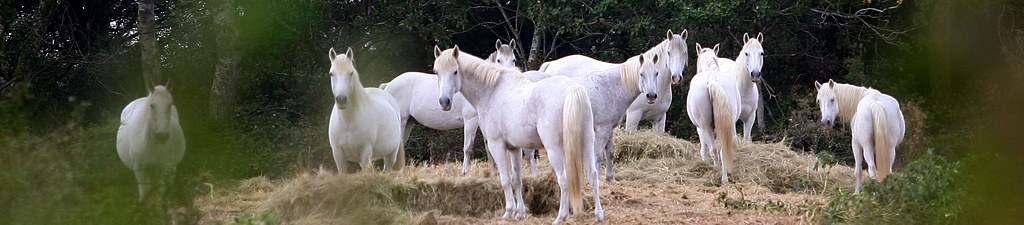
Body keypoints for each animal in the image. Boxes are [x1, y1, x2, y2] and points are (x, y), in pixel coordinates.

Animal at [380, 39, 520, 174]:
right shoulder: (471, 120)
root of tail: (388, 85)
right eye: (499, 60)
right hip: (401, 123)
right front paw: (465, 172)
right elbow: (468, 147)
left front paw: (494, 171)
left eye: (513, 59)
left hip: (409, 122)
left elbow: (488, 147)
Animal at [430, 45, 598, 222]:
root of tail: (571, 89)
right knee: (593, 175)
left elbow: (505, 180)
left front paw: (509, 212)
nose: (444, 102)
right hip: (587, 144)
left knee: (564, 180)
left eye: (455, 71)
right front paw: (520, 213)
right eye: (436, 72)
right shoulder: (514, 148)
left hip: (555, 150)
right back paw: (598, 215)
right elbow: (516, 180)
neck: (492, 91)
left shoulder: (496, 145)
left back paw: (561, 217)